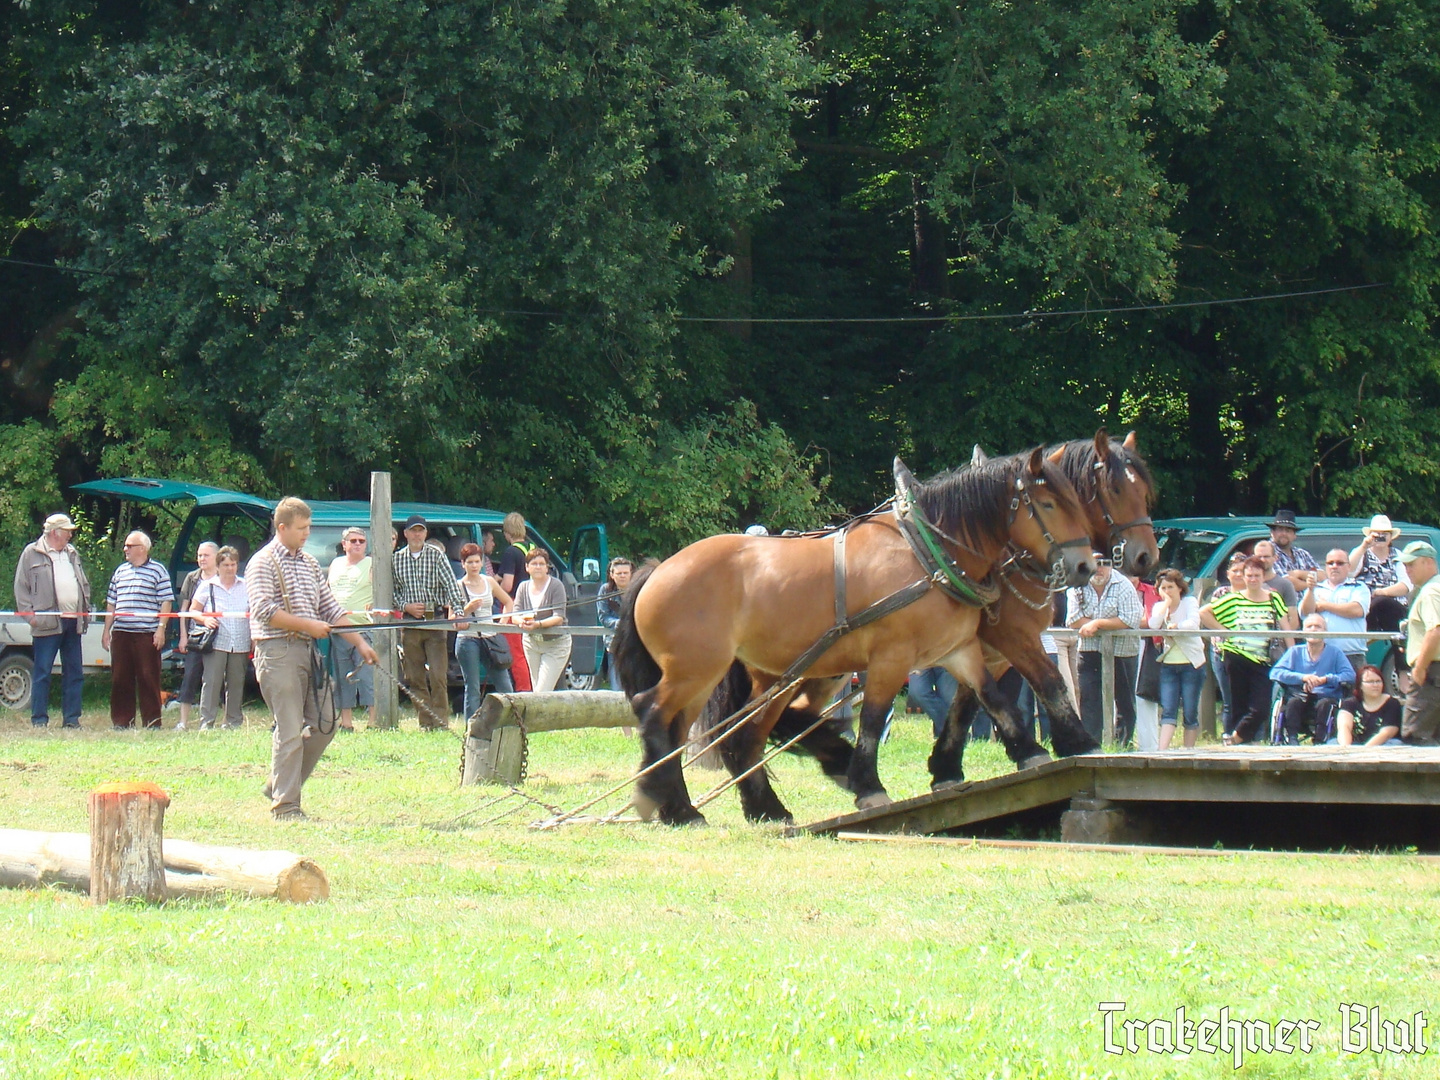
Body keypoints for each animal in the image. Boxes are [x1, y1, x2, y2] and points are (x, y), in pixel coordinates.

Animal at [607, 449, 1088, 829]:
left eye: (1075, 500)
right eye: (1048, 503)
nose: (1084, 566)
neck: (927, 552)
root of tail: (659, 570)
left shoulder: (959, 650)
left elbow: (992, 697)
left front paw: (1031, 752)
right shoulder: (891, 657)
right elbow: (873, 720)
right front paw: (869, 787)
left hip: (721, 676)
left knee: (696, 732)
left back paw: (708, 808)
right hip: (697, 669)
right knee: (654, 713)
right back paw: (668, 802)